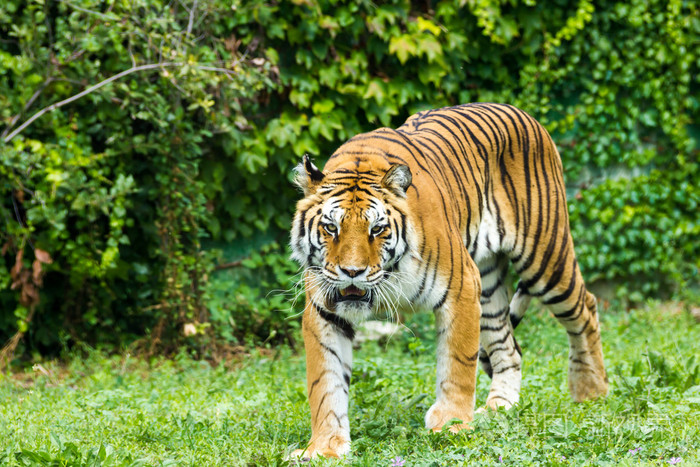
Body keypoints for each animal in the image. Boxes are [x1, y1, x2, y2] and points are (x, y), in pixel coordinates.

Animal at [289, 103, 608, 458]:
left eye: (377, 229)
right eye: (331, 228)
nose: (352, 272)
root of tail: (524, 113)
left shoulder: (462, 288)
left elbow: (458, 363)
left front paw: (452, 425)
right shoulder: (323, 312)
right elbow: (325, 382)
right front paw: (324, 447)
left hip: (545, 258)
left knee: (585, 307)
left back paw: (591, 390)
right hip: (490, 287)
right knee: (509, 349)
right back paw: (499, 407)